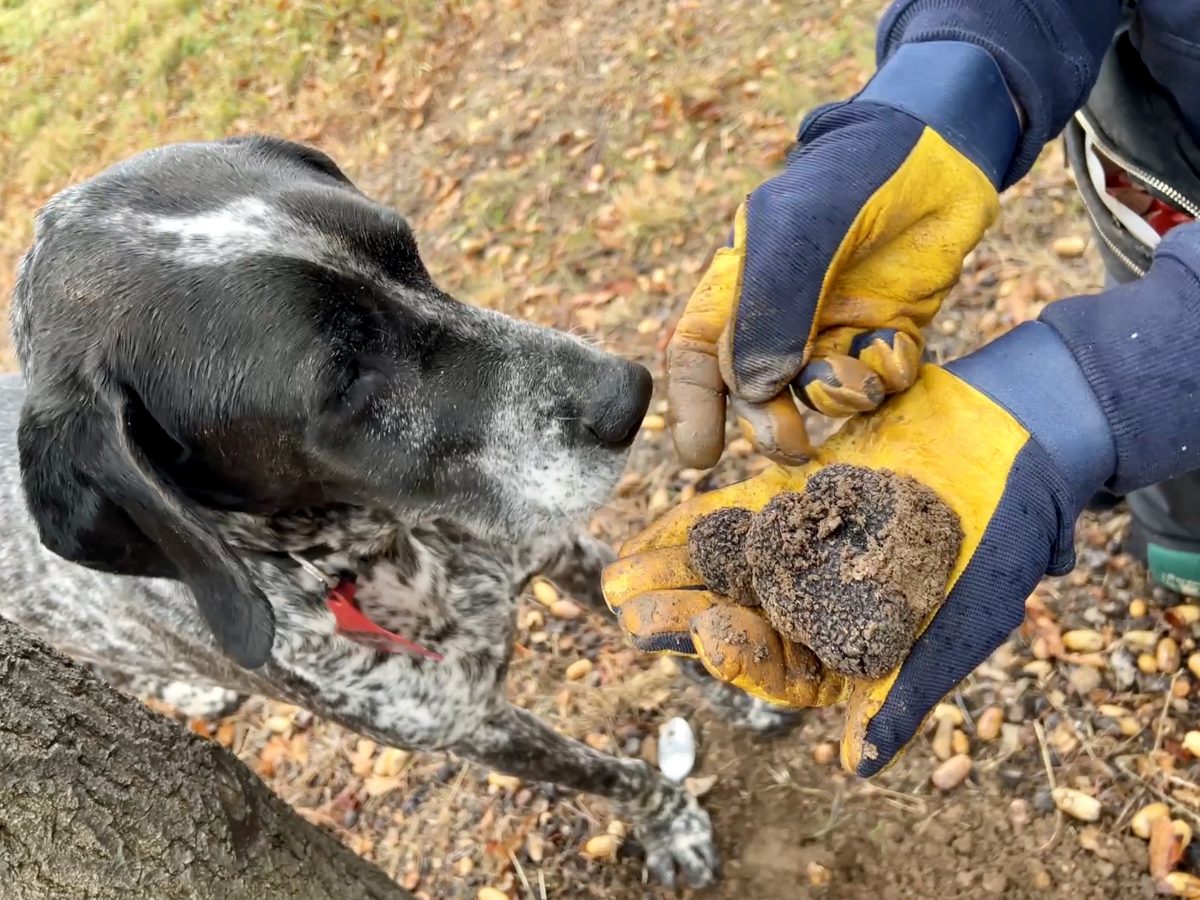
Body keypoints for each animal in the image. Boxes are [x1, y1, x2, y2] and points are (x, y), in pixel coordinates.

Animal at [4, 137, 801, 892]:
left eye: (406, 252)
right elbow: (616, 773)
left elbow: (669, 638)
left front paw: (742, 688)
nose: (629, 395)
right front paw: (672, 827)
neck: (395, 548)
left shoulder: (564, 554)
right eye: (346, 381)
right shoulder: (472, 727)